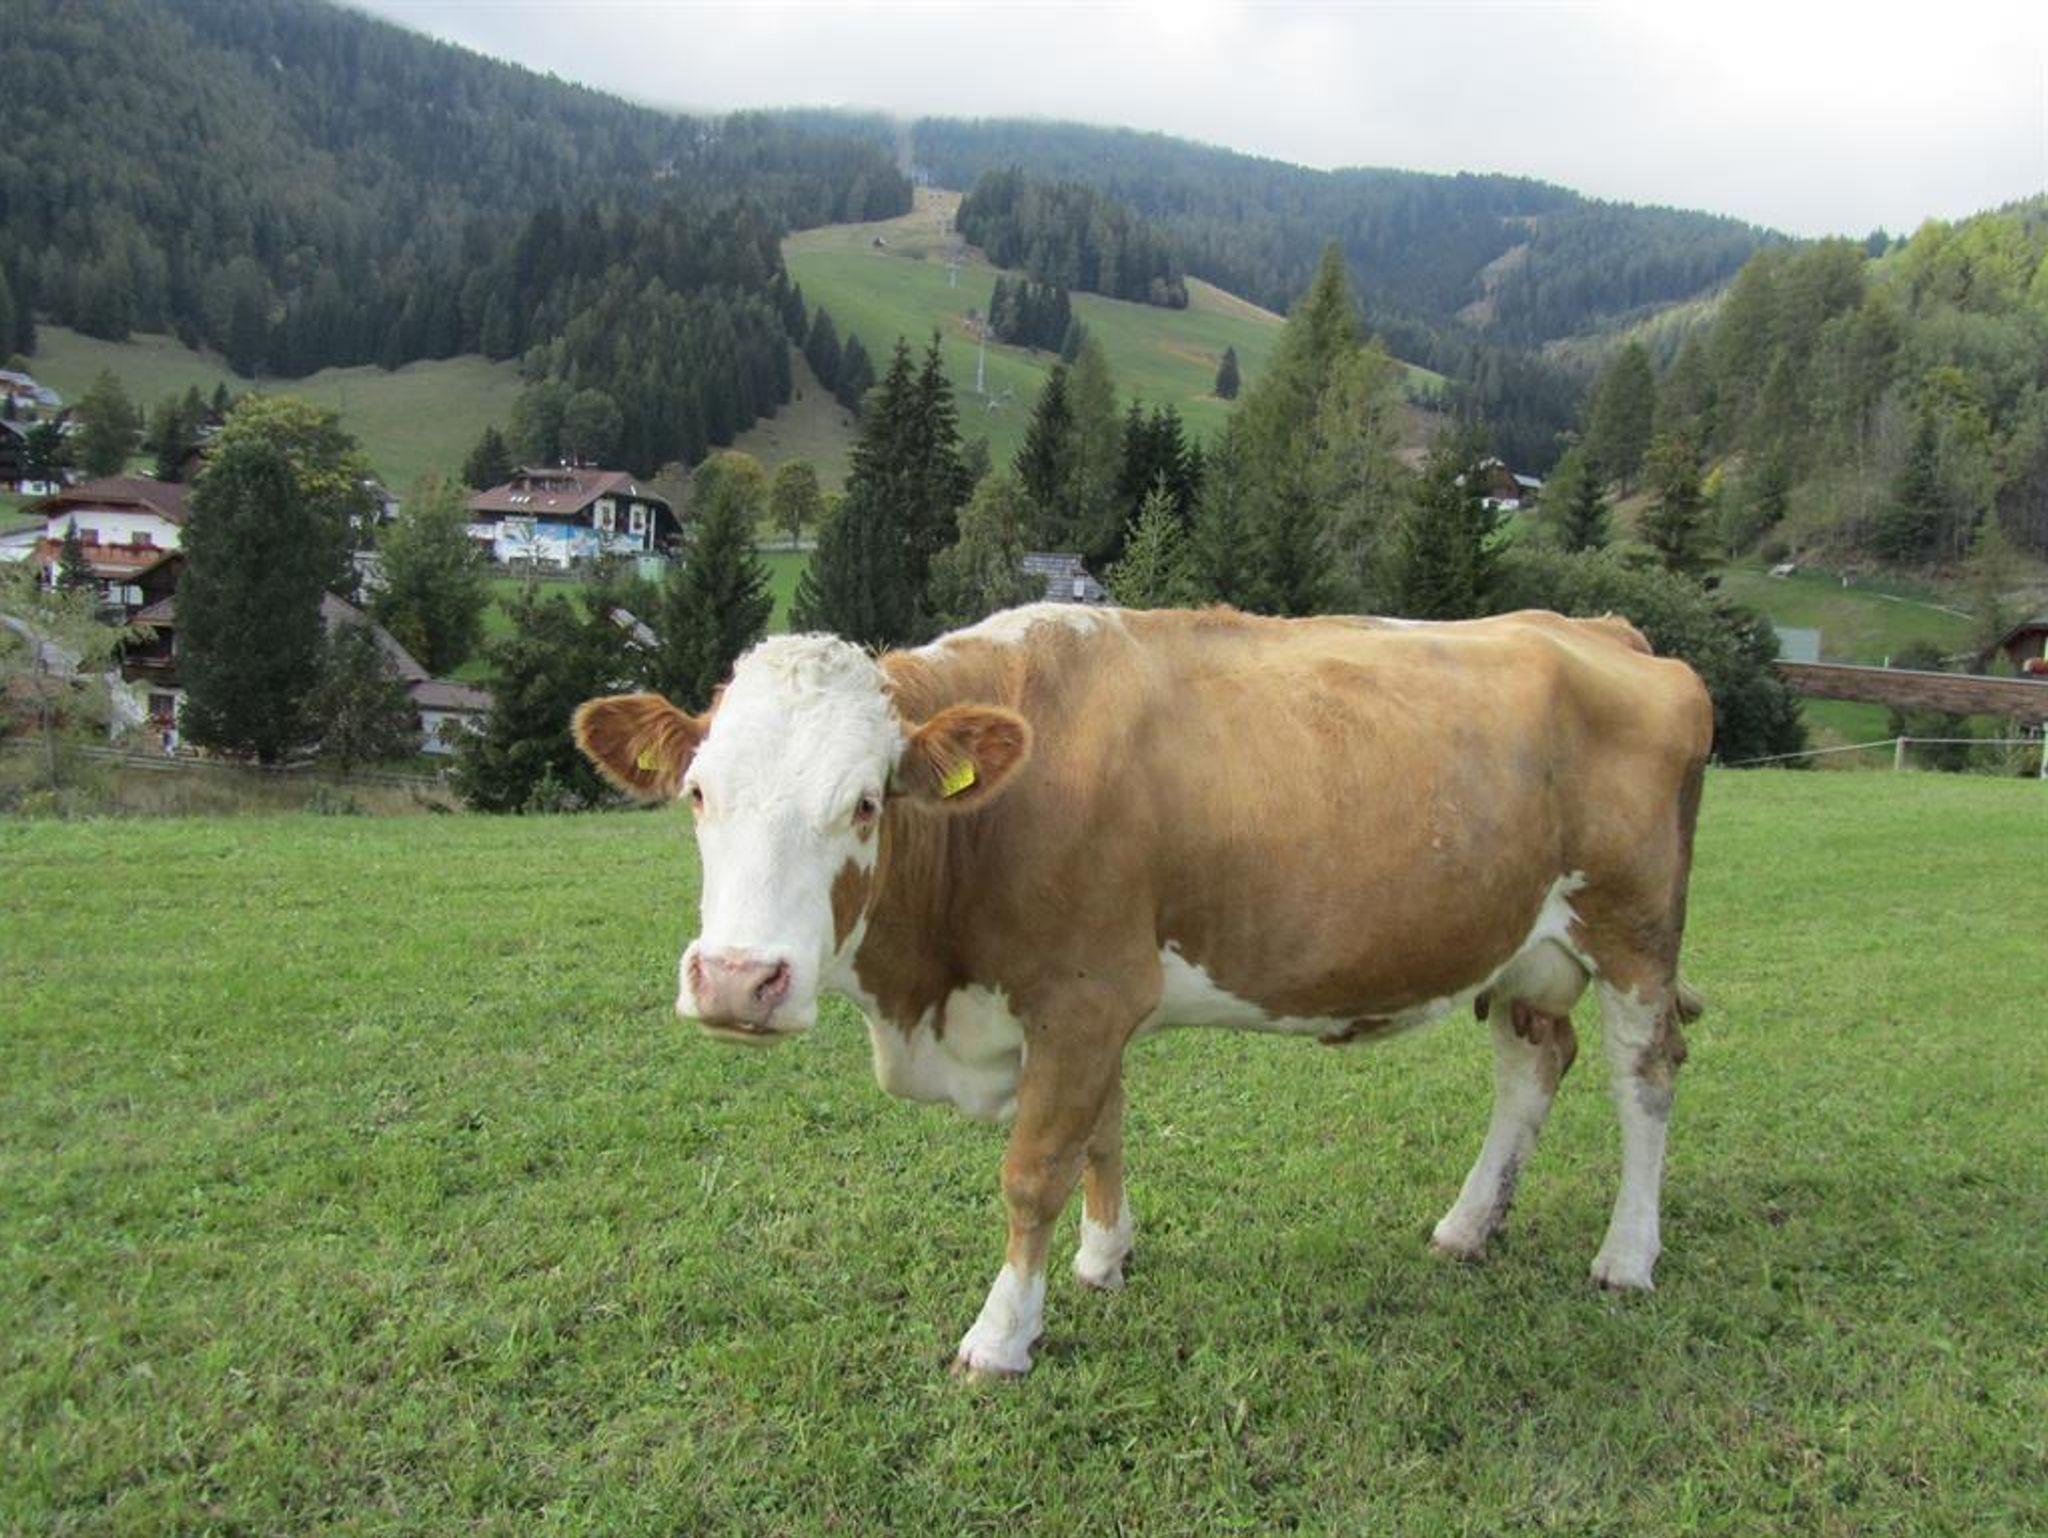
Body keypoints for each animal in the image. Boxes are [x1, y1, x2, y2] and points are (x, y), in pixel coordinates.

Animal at [573, 603, 1714, 1378]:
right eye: (697, 792)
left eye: (862, 803)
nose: (735, 980)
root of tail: (1597, 627)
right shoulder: (1095, 1002)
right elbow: (1103, 1134)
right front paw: (1103, 1258)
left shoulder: (1082, 994)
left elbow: (1034, 1167)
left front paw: (1001, 1335)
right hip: (1526, 947)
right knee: (1533, 1063)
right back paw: (1468, 1226)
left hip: (1632, 929)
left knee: (1645, 1078)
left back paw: (1626, 1254)